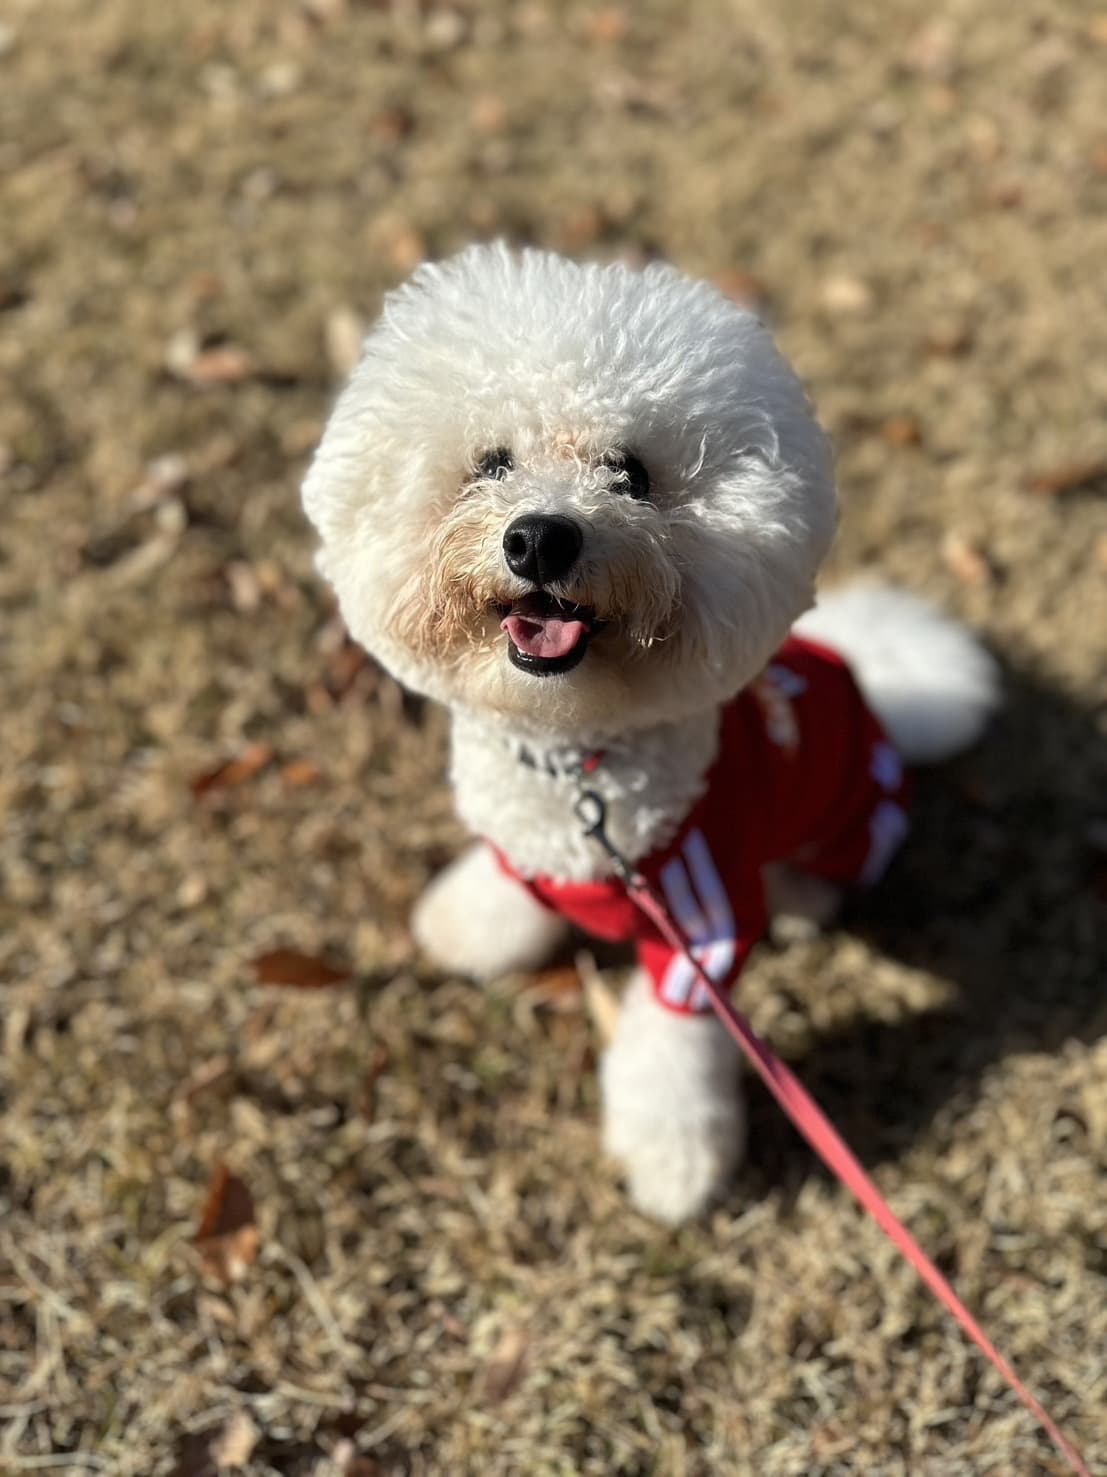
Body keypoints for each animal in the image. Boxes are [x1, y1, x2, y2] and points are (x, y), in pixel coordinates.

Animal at [300, 248, 993, 1222]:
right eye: (491, 464)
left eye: (628, 473)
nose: (540, 538)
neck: (573, 760)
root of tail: (878, 688)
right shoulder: (529, 844)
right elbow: (505, 889)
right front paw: (467, 927)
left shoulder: (700, 926)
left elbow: (671, 1054)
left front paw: (674, 1167)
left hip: (847, 824)